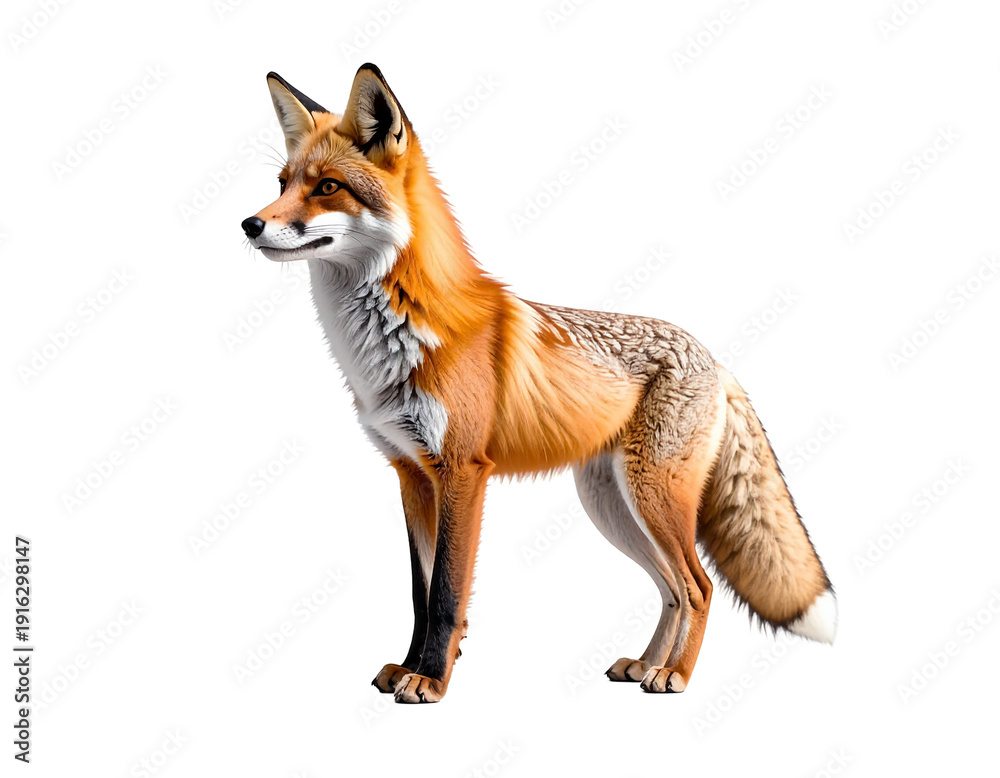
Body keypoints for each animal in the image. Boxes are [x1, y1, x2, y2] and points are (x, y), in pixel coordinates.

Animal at [241, 64, 836, 703]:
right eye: (282, 183)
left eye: (327, 187)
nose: (250, 224)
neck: (393, 342)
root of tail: (715, 359)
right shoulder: (411, 474)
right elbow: (420, 596)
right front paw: (409, 666)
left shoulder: (462, 472)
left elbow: (447, 594)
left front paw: (432, 681)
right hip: (613, 509)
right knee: (672, 589)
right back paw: (643, 664)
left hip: (653, 499)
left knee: (699, 587)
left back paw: (674, 674)